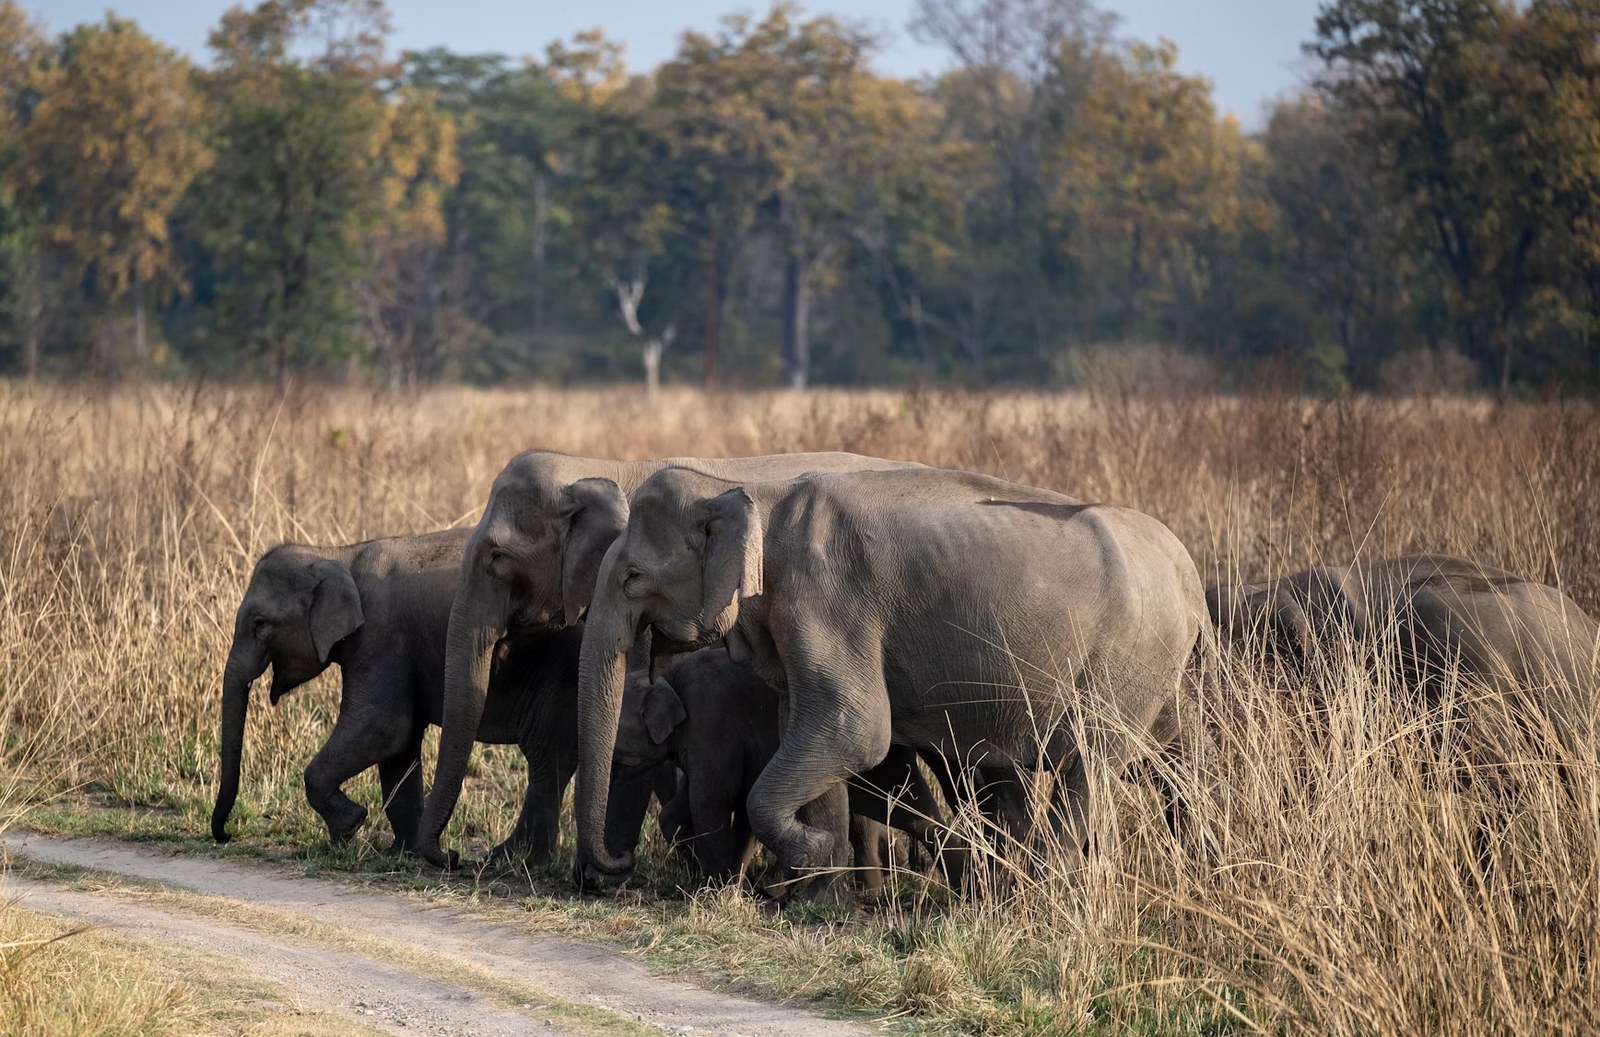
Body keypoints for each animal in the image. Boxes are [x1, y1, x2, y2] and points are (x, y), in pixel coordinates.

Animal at [211, 528, 623, 863]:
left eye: (259, 624)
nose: (226, 835)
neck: (337, 555)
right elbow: (400, 746)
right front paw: (401, 854)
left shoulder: (380, 637)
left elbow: (383, 727)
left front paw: (350, 827)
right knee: (551, 760)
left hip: (560, 670)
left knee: (544, 755)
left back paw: (510, 860)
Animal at [606, 648, 950, 892]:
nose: (622, 858)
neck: (667, 677)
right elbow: (688, 810)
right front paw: (729, 883)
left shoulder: (710, 724)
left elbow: (712, 801)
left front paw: (717, 889)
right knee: (902, 809)